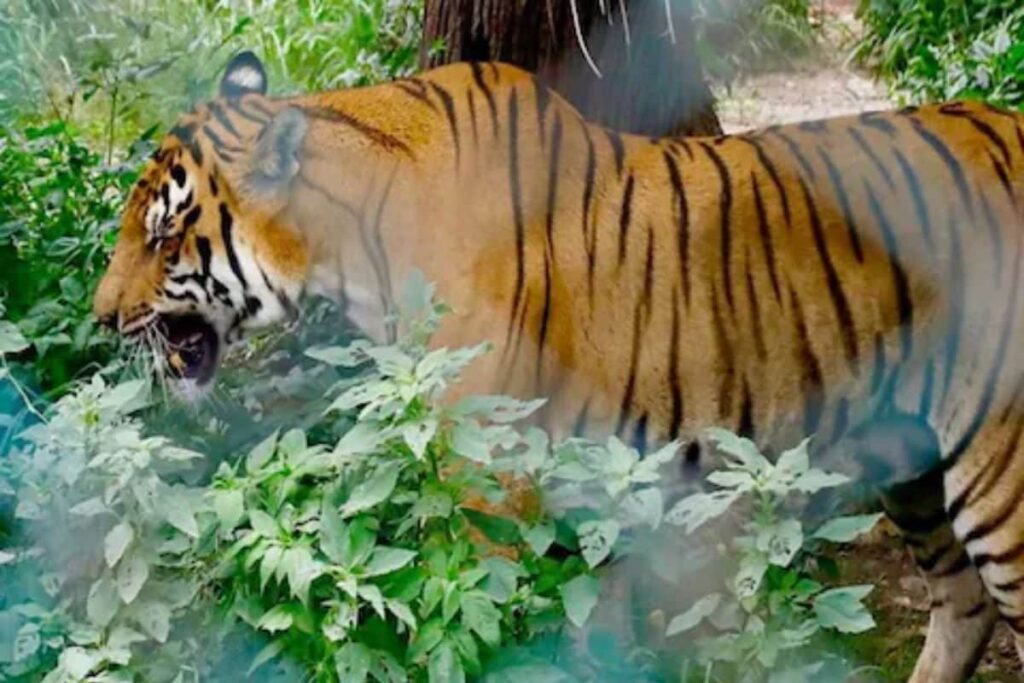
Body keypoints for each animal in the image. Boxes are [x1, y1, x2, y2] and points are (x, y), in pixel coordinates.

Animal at [92, 50, 1024, 681]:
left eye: (163, 236)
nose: (102, 318)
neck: (348, 246)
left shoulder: (487, 480)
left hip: (1000, 479)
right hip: (914, 466)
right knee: (963, 605)